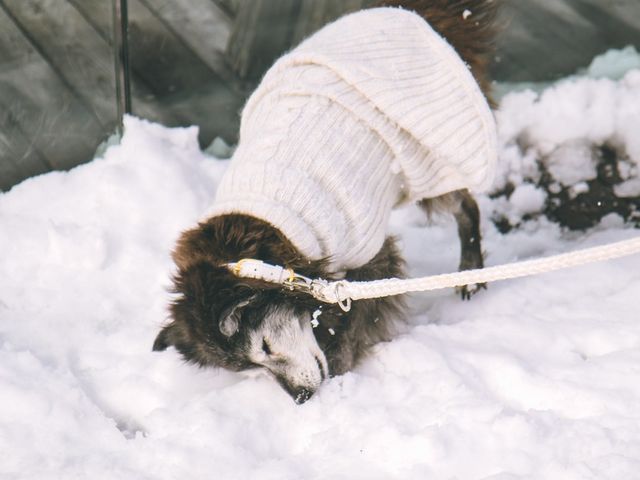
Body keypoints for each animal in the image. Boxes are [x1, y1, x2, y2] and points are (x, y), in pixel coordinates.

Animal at [154, 0, 500, 404]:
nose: (301, 399)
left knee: (466, 207)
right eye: (250, 367)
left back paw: (472, 271)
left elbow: (353, 321)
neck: (265, 241)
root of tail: (411, 13)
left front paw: (340, 366)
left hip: (432, 162)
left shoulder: (368, 257)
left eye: (266, 347)